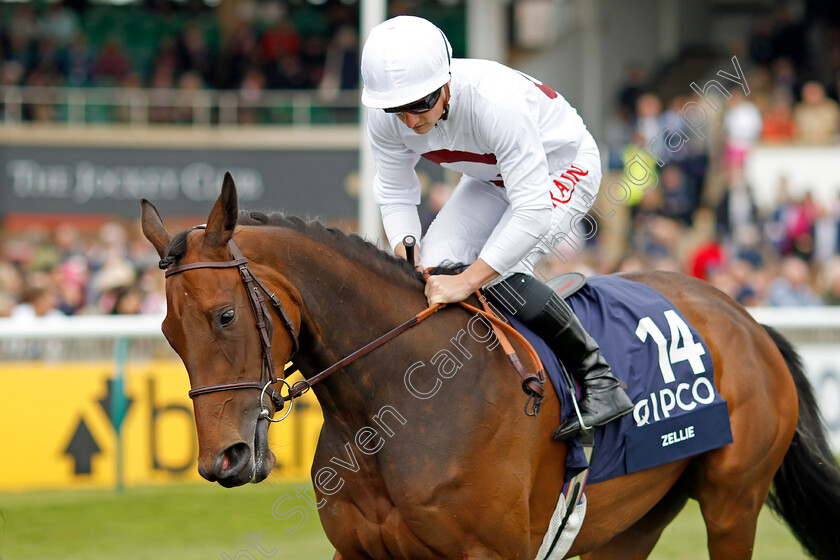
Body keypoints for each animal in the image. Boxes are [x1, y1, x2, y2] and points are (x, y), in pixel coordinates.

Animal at [141, 173, 836, 556]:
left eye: (224, 317)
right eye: (169, 333)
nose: (223, 458)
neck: (396, 403)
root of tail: (744, 317)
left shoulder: (489, 552)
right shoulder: (361, 553)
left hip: (733, 502)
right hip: (628, 523)